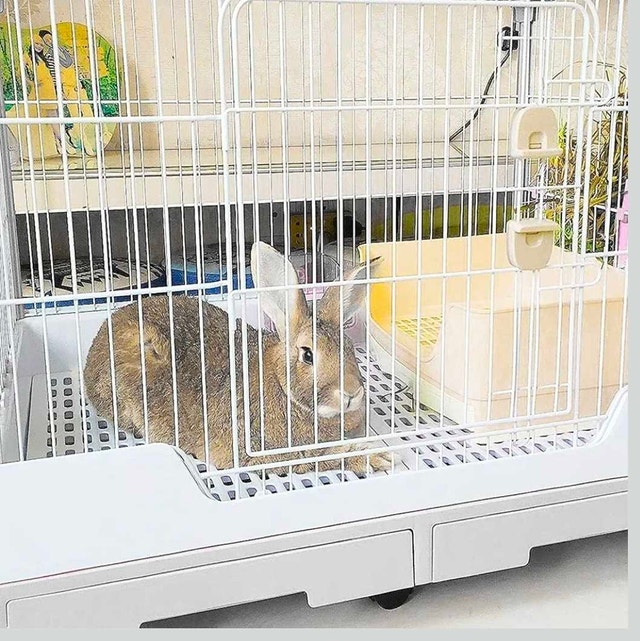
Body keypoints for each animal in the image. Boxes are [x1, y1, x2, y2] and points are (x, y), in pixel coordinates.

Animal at [83, 241, 392, 475]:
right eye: (307, 355)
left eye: (349, 347)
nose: (352, 393)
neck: (282, 386)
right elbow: (320, 457)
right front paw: (378, 457)